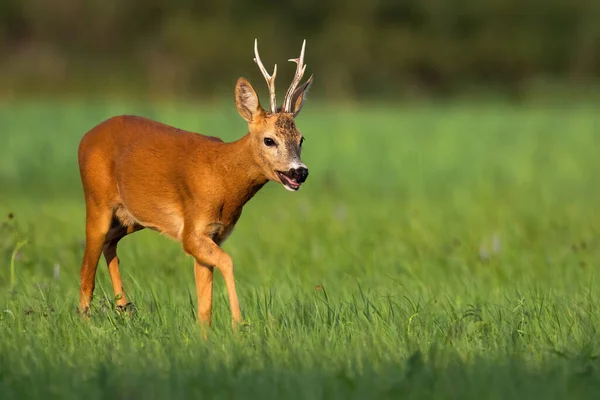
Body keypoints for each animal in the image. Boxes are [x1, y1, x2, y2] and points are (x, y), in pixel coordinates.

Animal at [78, 39, 314, 330]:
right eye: (269, 140)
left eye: (301, 139)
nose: (299, 172)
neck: (223, 178)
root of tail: (84, 138)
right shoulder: (192, 231)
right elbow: (227, 262)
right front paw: (239, 324)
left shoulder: (214, 234)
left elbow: (204, 306)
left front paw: (207, 334)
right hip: (96, 200)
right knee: (86, 272)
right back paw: (88, 321)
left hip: (129, 217)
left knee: (110, 244)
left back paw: (124, 307)